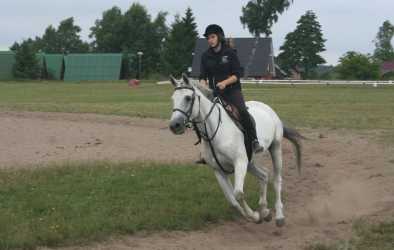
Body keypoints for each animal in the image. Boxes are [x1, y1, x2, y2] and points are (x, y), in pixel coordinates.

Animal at [169, 74, 302, 227]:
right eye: (173, 99)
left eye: (187, 98)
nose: (174, 125)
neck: (216, 130)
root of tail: (267, 108)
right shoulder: (219, 170)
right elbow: (232, 201)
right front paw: (256, 216)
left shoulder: (240, 162)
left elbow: (238, 193)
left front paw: (255, 216)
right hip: (250, 162)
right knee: (264, 175)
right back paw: (265, 211)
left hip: (275, 148)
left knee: (276, 179)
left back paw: (279, 216)